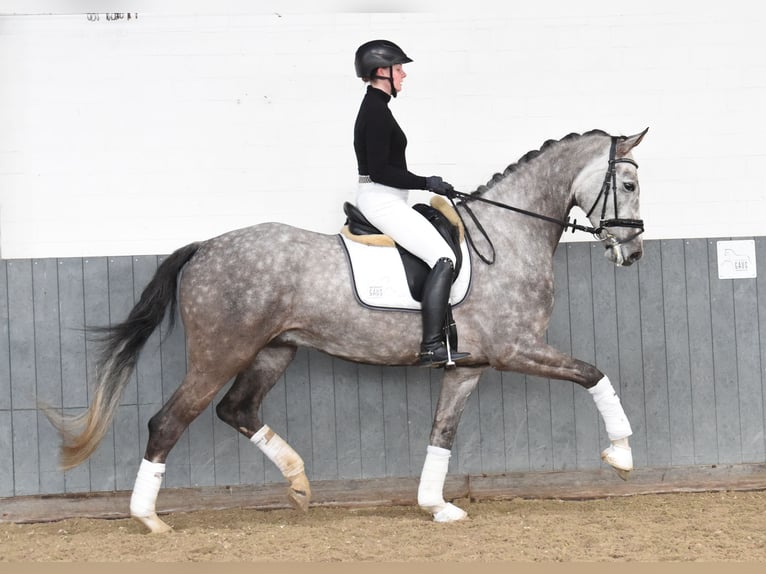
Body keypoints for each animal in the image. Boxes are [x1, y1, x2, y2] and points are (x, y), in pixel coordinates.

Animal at [46, 128, 648, 532]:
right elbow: (594, 373)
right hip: (220, 353)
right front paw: (621, 456)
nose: (633, 252)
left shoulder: (470, 367)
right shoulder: (516, 349)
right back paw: (150, 519)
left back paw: (299, 485)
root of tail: (205, 247)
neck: (506, 235)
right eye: (628, 182)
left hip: (274, 351)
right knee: (169, 420)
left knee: (237, 410)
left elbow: (442, 433)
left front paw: (436, 505)